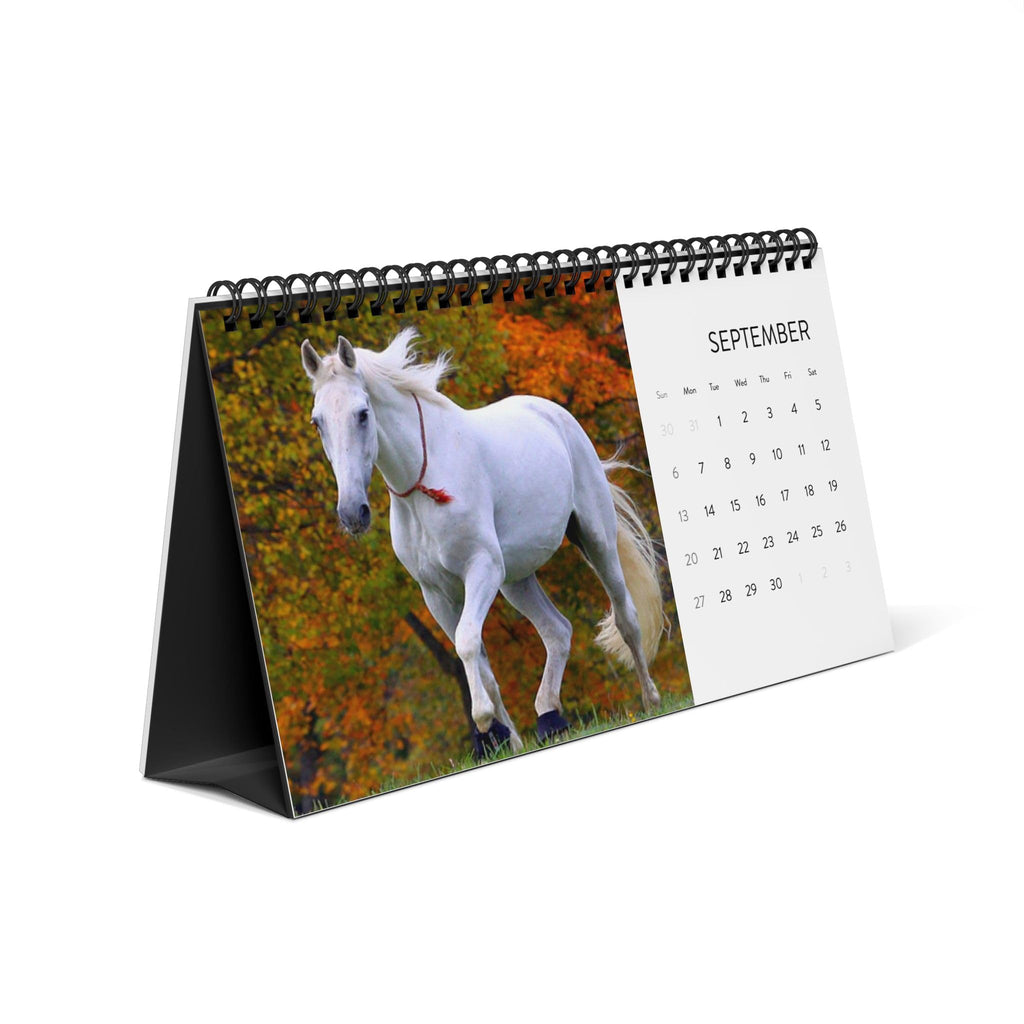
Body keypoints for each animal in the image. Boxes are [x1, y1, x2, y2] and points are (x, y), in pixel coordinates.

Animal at [300, 327, 664, 756]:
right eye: (317, 422)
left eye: (362, 413)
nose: (352, 514)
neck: (425, 484)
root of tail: (555, 415)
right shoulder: (436, 593)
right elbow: (481, 662)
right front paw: (508, 739)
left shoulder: (481, 569)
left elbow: (467, 642)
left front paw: (485, 723)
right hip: (516, 580)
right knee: (557, 631)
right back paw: (549, 719)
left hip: (595, 542)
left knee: (626, 617)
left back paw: (649, 699)